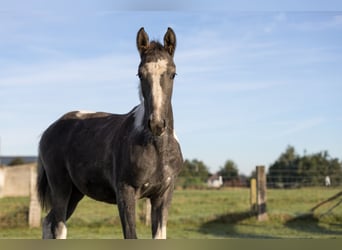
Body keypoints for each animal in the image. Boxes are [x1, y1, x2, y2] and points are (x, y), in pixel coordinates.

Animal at [36, 26, 183, 238]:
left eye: (173, 74)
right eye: (140, 74)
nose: (156, 124)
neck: (157, 148)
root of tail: (49, 130)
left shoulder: (163, 195)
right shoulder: (125, 193)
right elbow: (131, 235)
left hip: (75, 192)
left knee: (48, 222)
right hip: (60, 187)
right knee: (58, 225)